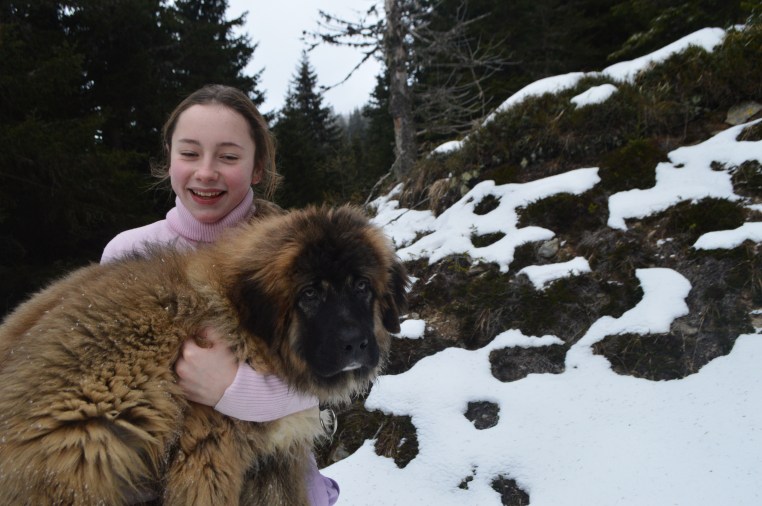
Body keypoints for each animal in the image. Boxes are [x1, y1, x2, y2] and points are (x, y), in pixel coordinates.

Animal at [0, 205, 408, 505]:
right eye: (309, 294)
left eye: (361, 286)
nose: (355, 345)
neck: (240, 325)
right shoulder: (207, 452)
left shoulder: (273, 458)